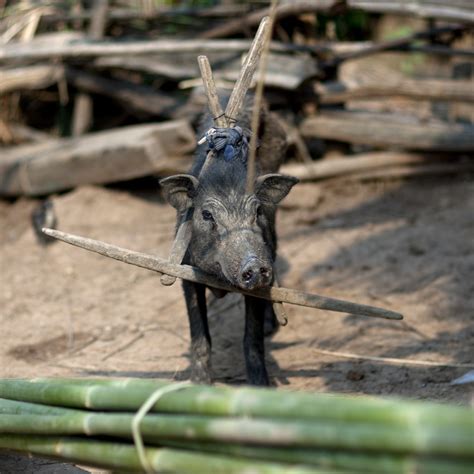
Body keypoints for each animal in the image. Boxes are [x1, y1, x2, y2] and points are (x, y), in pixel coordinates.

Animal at [161, 100, 298, 386]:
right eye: (206, 215)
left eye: (257, 211)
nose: (254, 265)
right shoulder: (186, 272)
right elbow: (200, 336)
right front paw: (200, 384)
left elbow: (252, 340)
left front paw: (262, 387)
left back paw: (270, 327)